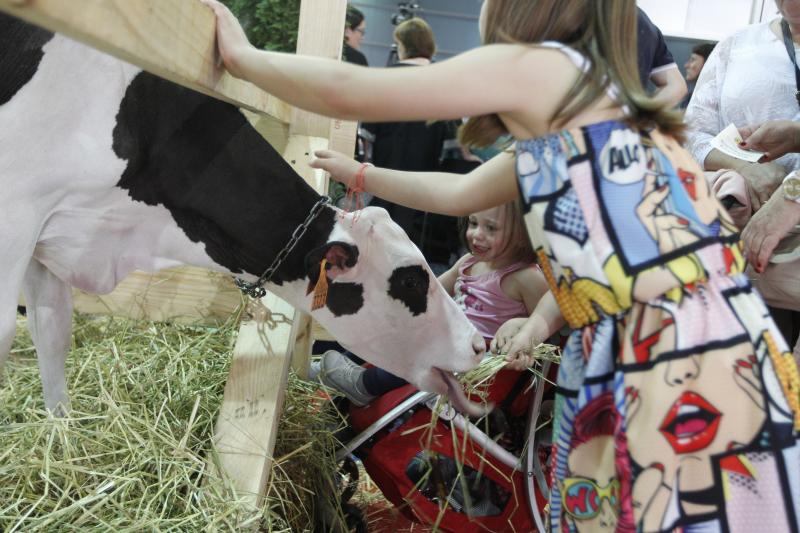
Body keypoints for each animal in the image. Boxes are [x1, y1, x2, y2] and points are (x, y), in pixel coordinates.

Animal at [0, 11, 484, 412]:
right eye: (411, 281)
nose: (479, 344)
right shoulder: (18, 218)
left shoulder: (50, 238)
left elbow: (53, 331)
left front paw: (61, 429)